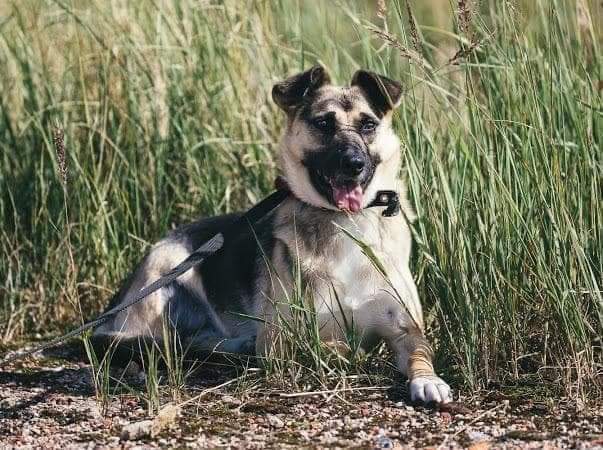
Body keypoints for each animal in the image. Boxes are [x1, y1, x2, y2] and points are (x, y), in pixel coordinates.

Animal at [92, 66, 450, 404]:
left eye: (368, 125)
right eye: (324, 123)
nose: (354, 164)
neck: (346, 221)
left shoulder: (407, 331)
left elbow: (421, 354)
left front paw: (429, 381)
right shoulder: (282, 340)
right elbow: (327, 345)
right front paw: (349, 352)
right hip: (166, 274)